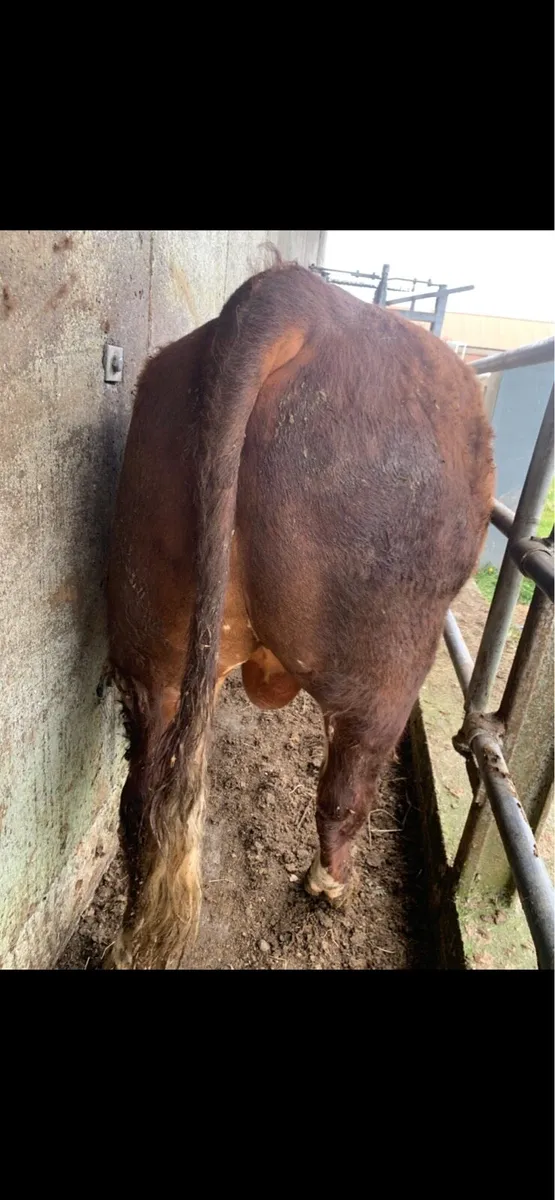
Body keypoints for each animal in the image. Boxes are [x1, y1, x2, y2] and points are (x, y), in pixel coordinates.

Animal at [105, 254, 494, 969]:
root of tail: (292, 298)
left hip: (150, 624)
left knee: (143, 794)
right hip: (391, 652)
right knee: (347, 786)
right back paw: (330, 884)